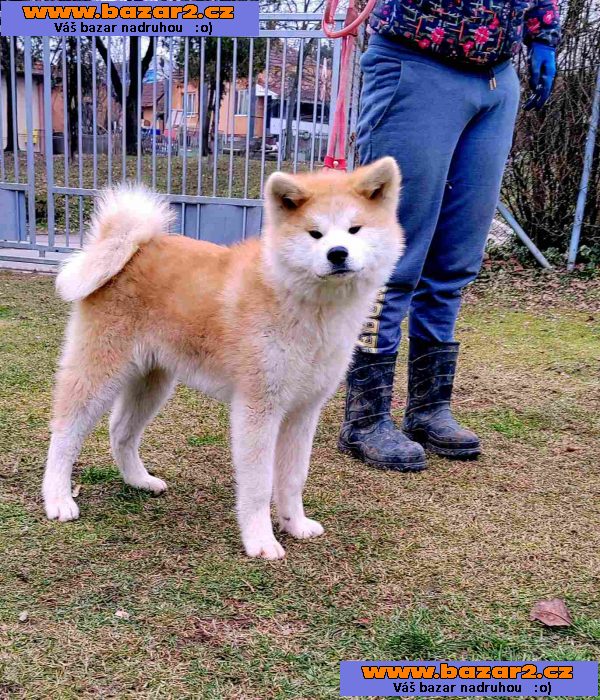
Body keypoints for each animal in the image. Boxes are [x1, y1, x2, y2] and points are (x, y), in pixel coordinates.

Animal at [42, 157, 404, 556]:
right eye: (315, 234)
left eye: (355, 229)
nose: (337, 253)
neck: (309, 307)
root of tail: (132, 248)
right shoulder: (257, 409)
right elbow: (259, 485)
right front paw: (260, 541)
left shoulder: (303, 410)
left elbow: (293, 478)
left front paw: (294, 524)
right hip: (99, 373)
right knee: (64, 433)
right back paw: (57, 498)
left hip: (153, 381)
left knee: (120, 431)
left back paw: (139, 481)